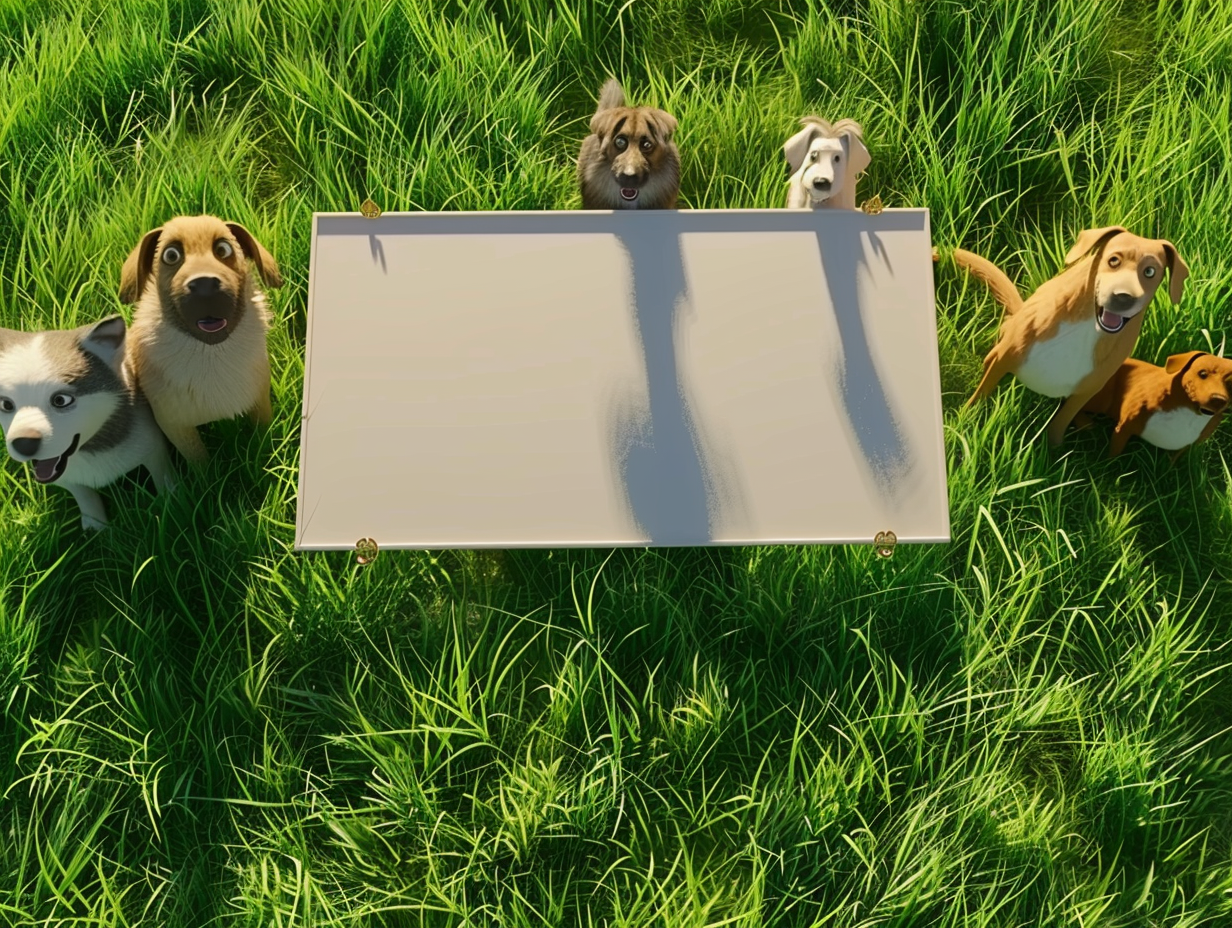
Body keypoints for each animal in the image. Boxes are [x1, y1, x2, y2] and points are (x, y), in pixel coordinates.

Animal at [0, 311, 176, 527]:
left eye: (61, 400)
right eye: (6, 404)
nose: (23, 444)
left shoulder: (154, 448)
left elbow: (163, 478)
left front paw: (172, 502)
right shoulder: (69, 479)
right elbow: (86, 498)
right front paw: (96, 528)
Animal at [118, 215, 282, 463]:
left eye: (223, 249)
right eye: (171, 255)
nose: (205, 285)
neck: (211, 355)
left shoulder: (260, 402)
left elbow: (263, 439)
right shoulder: (174, 425)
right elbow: (200, 462)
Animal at [956, 225, 1187, 446]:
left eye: (1149, 271)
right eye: (1113, 260)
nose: (1123, 297)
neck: (1089, 327)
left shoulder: (1086, 390)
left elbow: (1061, 421)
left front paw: (1054, 451)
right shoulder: (1004, 358)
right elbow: (980, 395)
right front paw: (966, 418)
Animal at [1079, 350, 1232, 460]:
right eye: (1203, 374)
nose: (1219, 399)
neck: (1188, 413)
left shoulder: (1187, 445)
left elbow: (1172, 462)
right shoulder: (1124, 428)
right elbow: (1114, 454)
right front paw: (1110, 468)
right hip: (1100, 399)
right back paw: (1085, 423)